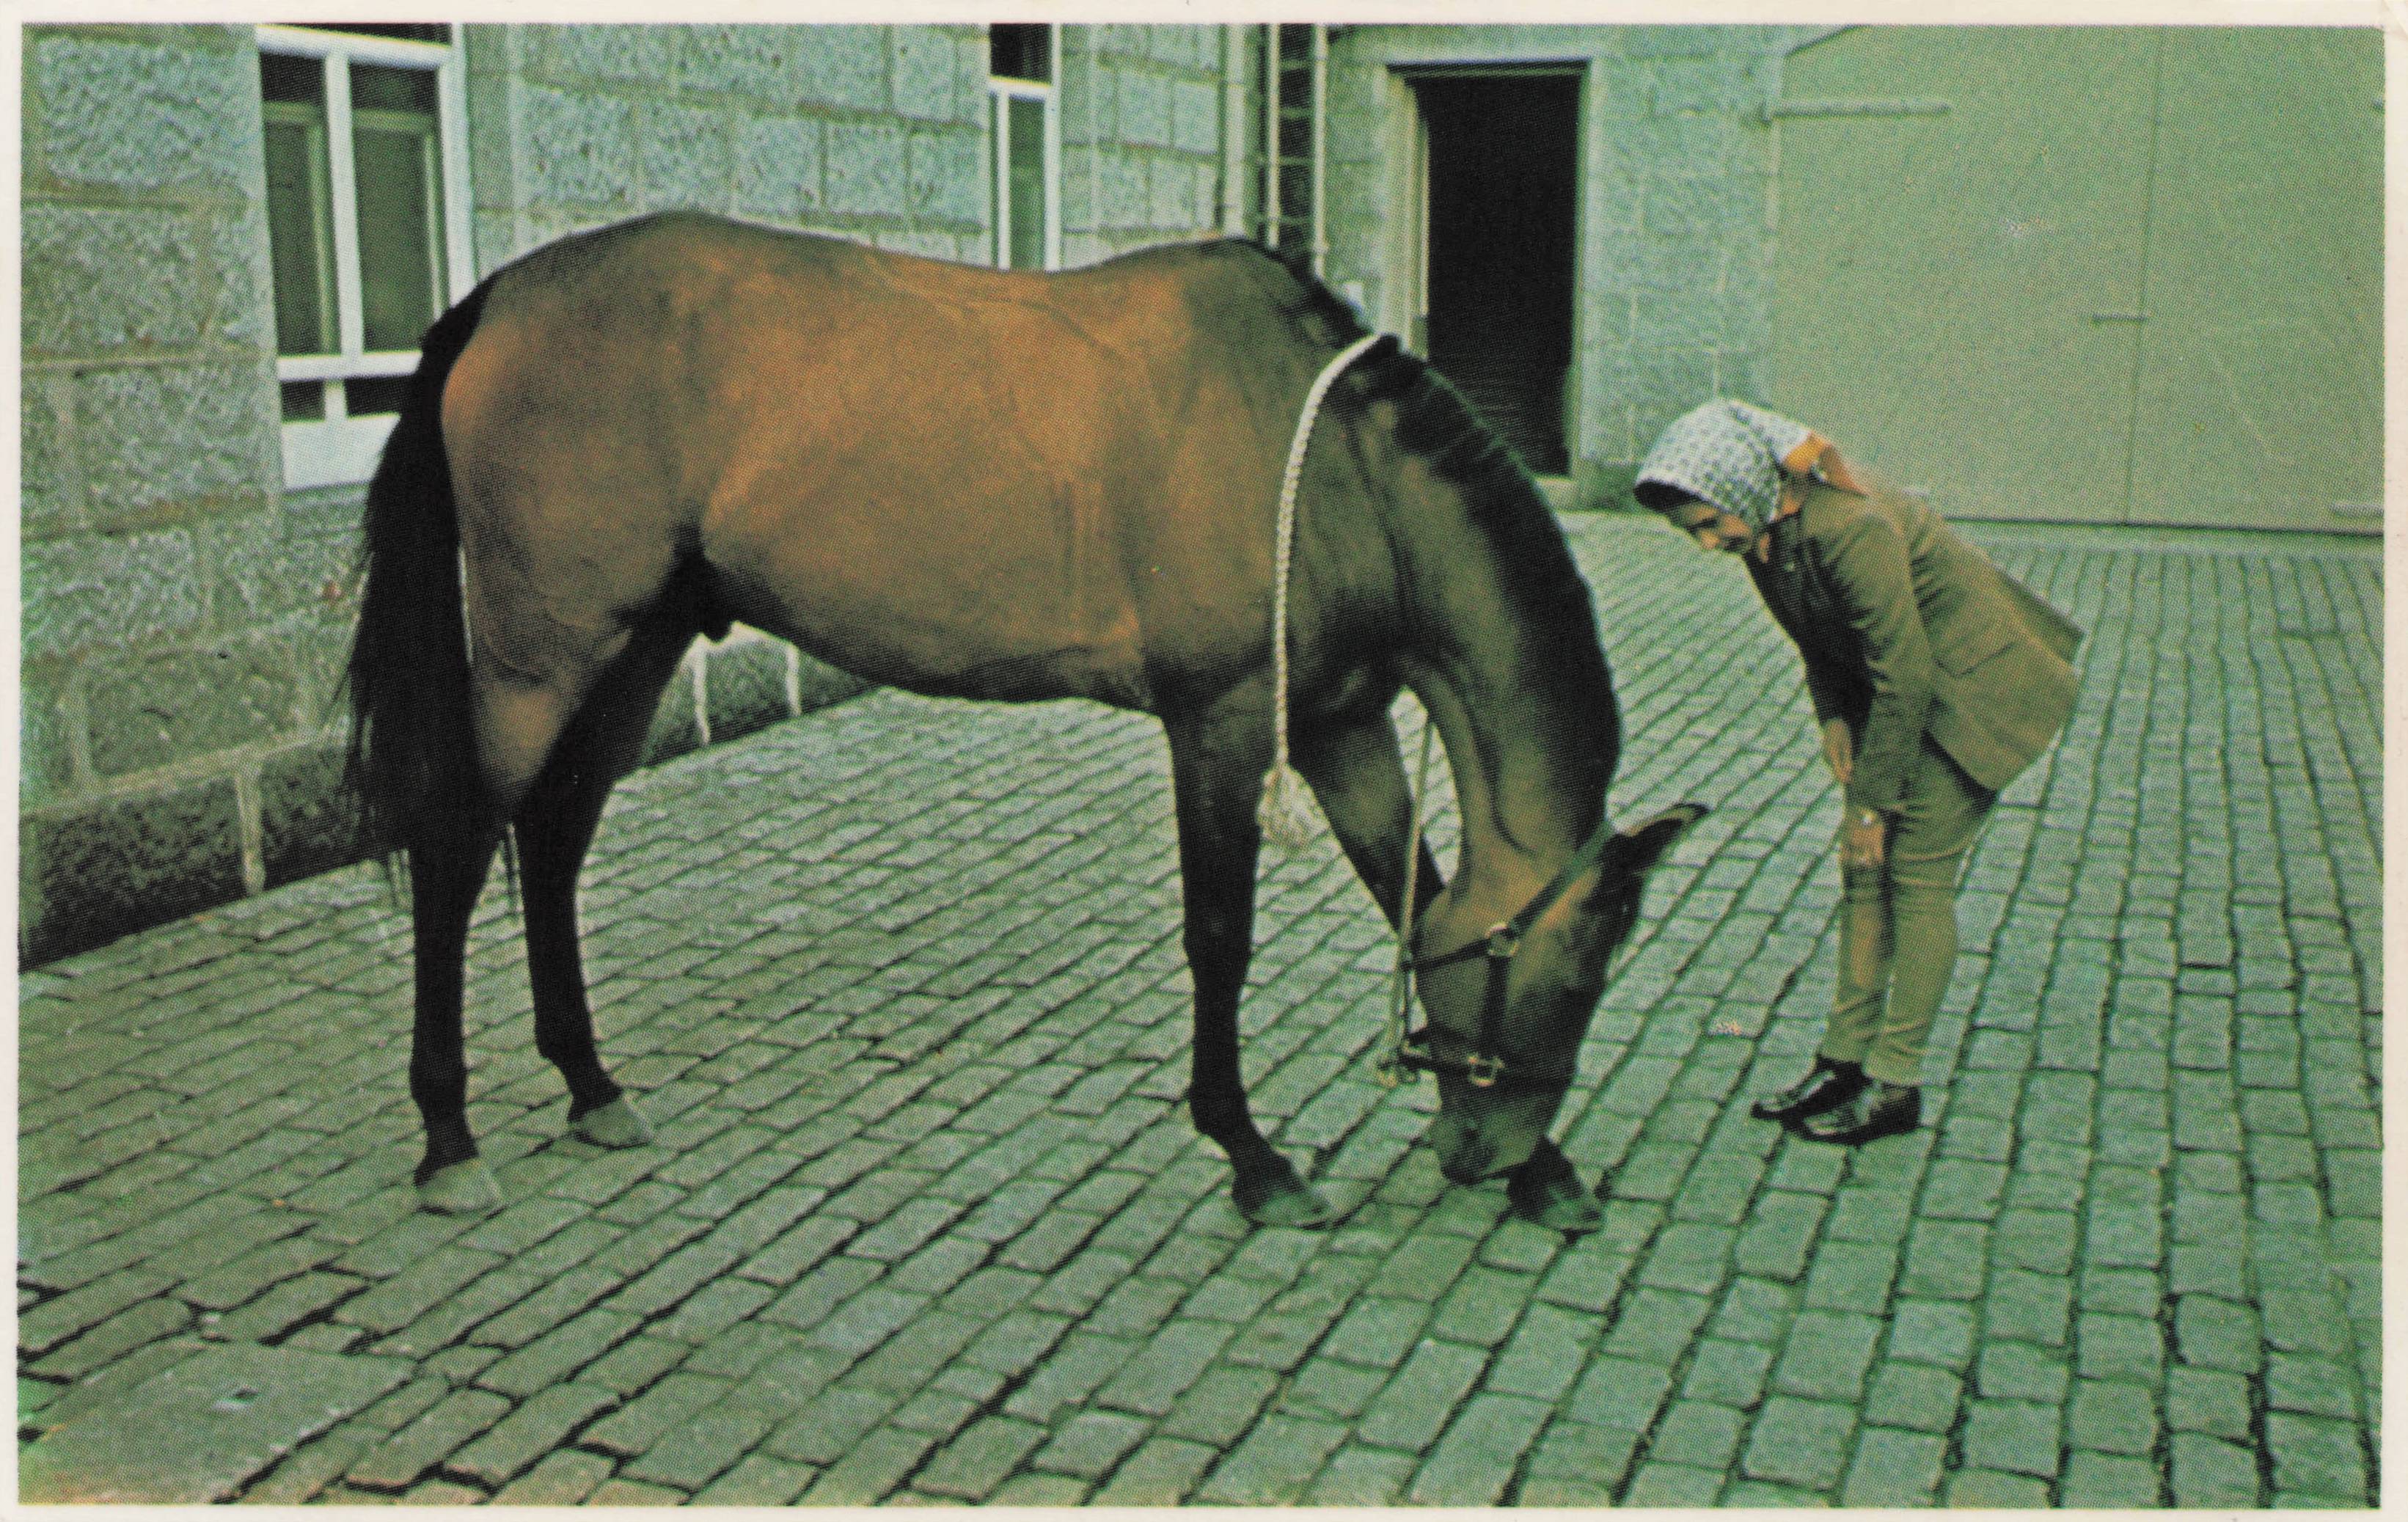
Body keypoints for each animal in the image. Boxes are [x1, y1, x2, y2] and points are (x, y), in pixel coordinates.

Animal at [346, 210, 1702, 1233]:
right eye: (1577, 970)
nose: (1485, 1149)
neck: (1325, 469)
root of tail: (497, 301)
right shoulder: (1220, 723)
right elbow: (1221, 939)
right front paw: (1252, 1156)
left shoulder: (1338, 726)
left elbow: (1407, 893)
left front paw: (1548, 1173)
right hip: (542, 652)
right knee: (460, 847)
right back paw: (448, 1135)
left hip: (638, 643)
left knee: (555, 838)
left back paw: (588, 1083)